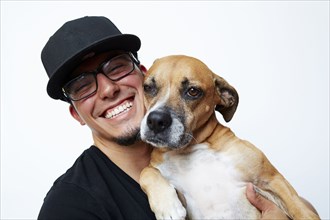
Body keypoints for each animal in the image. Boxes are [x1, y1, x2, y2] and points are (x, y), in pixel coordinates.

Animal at [139, 54, 320, 219]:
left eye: (193, 91)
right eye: (148, 87)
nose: (156, 121)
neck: (189, 149)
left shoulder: (272, 179)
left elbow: (301, 210)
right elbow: (145, 171)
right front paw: (167, 206)